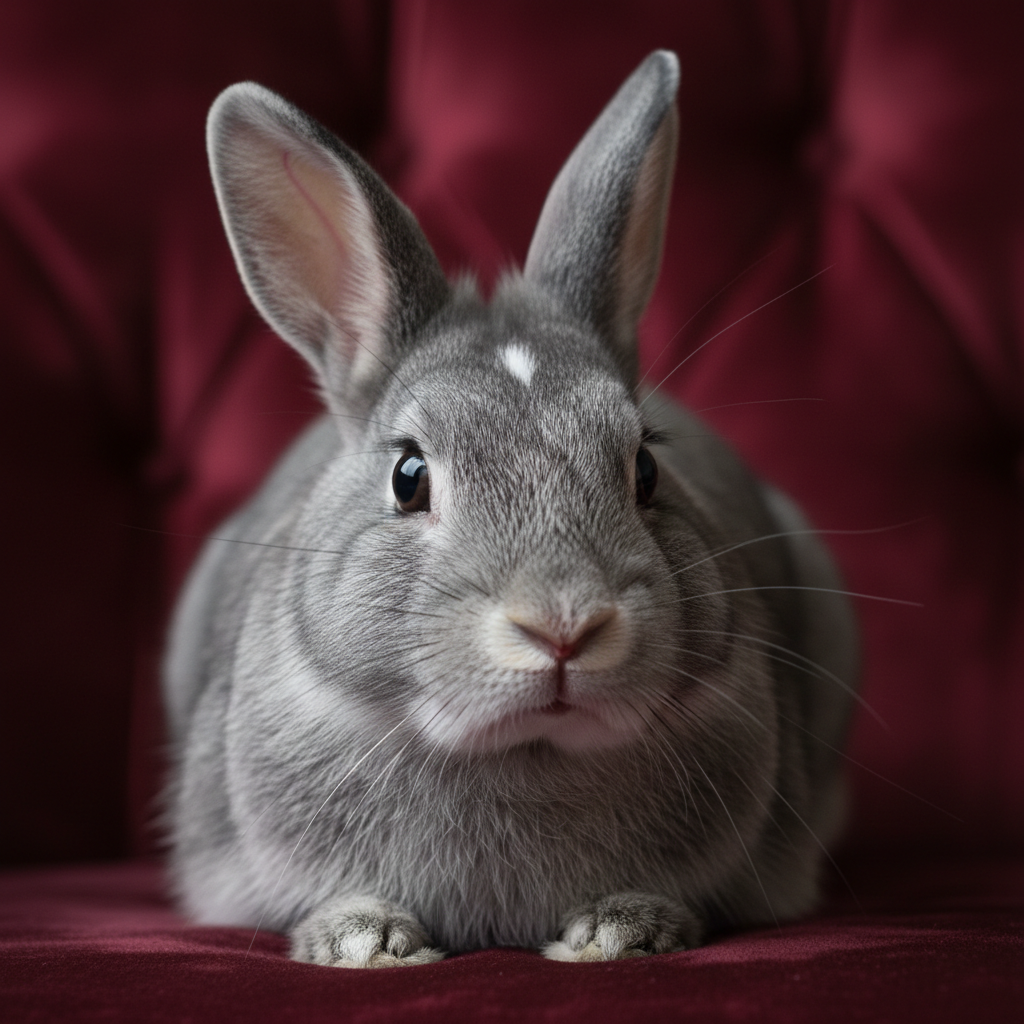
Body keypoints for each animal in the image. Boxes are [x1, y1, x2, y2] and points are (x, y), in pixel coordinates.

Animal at [163, 50, 858, 968]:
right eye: (409, 477)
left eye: (645, 469)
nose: (564, 627)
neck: (524, 750)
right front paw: (366, 942)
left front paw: (619, 932)